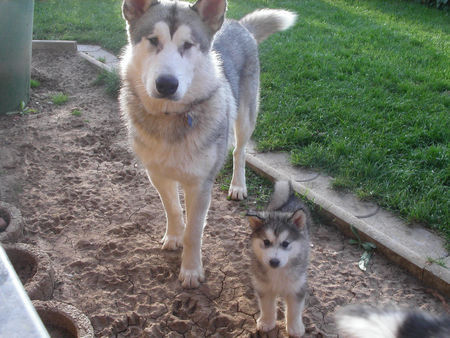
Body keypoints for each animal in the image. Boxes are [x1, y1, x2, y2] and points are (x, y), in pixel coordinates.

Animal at [118, 0, 298, 288]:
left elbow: (194, 231)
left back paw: (237, 185)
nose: (166, 84)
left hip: (245, 118)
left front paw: (191, 270)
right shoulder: (156, 174)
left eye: (188, 44)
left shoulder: (200, 184)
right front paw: (174, 236)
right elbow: (173, 210)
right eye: (153, 40)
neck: (171, 120)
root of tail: (237, 24)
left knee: (239, 151)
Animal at [246, 181, 310, 336]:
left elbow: (294, 311)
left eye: (285, 243)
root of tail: (291, 196)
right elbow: (267, 307)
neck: (277, 273)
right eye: (266, 242)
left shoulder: (296, 288)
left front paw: (295, 328)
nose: (274, 261)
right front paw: (266, 322)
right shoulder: (264, 287)